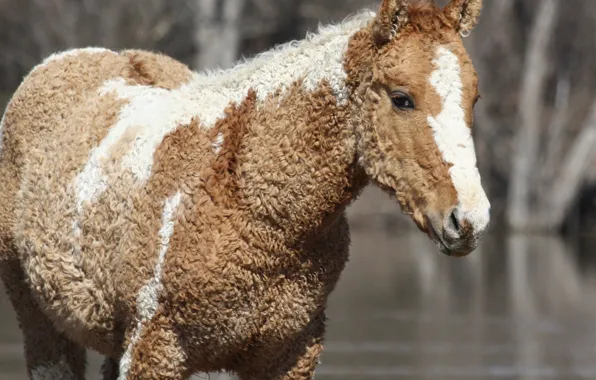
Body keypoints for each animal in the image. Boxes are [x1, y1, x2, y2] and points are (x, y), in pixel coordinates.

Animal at [0, 0, 488, 378]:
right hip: (41, 322)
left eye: (474, 99)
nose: (468, 219)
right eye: (402, 98)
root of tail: (57, 63)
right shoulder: (154, 350)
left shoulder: (289, 355)